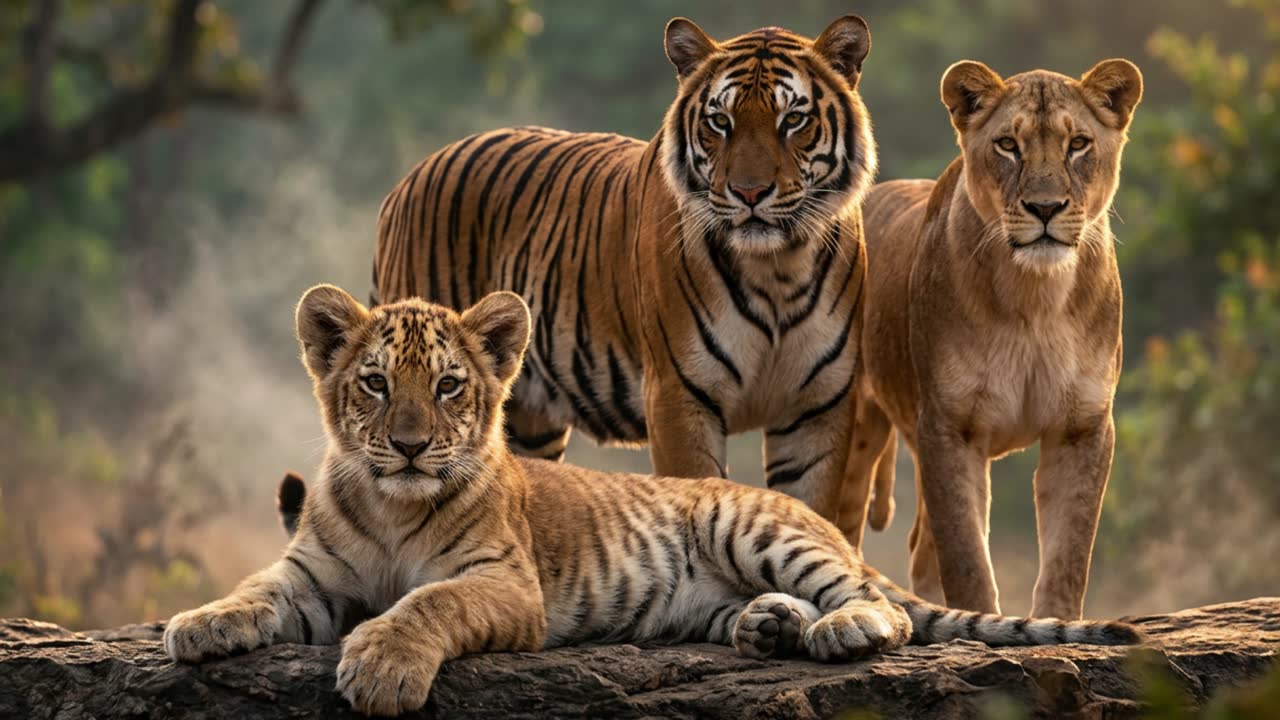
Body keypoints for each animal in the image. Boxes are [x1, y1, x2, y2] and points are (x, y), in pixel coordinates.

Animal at [164, 285, 1141, 716]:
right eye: (373, 384)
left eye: (447, 387)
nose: (407, 445)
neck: (394, 504)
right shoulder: (311, 576)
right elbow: (254, 590)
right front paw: (198, 625)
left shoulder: (504, 585)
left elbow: (425, 603)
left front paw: (381, 666)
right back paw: (768, 628)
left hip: (754, 524)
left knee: (880, 608)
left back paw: (836, 630)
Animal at [371, 15, 878, 521]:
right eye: (720, 121)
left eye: (793, 119)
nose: (749, 193)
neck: (777, 270)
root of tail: (408, 178)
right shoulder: (679, 397)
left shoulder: (819, 408)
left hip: (529, 420)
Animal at [836, 60, 1143, 620]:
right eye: (1007, 145)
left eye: (1078, 144)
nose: (1045, 207)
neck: (1035, 299)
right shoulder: (949, 428)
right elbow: (967, 558)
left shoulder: (1082, 428)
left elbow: (1068, 555)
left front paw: (1057, 627)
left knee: (920, 547)